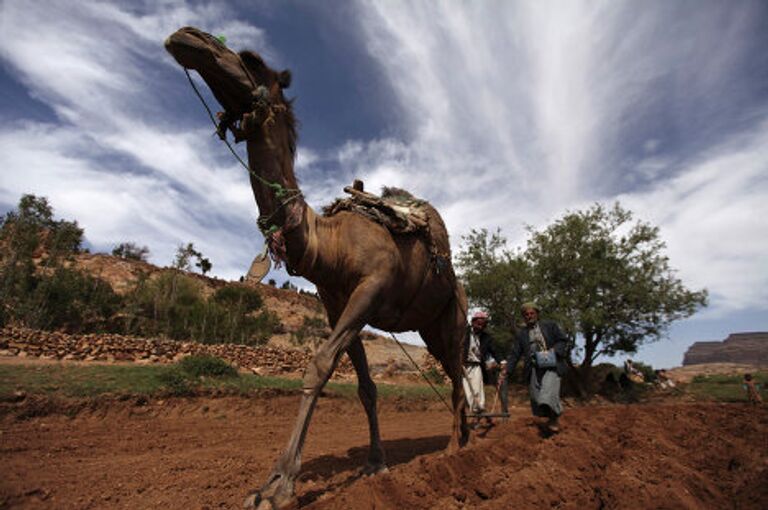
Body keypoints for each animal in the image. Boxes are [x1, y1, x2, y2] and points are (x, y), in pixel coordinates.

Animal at [164, 27, 468, 510]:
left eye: (251, 59)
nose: (187, 37)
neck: (330, 245)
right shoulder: (337, 303)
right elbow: (365, 387)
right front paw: (375, 464)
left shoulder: (371, 289)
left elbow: (319, 366)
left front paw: (277, 486)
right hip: (429, 328)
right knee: (455, 374)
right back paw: (465, 440)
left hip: (453, 319)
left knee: (458, 377)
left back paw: (454, 450)